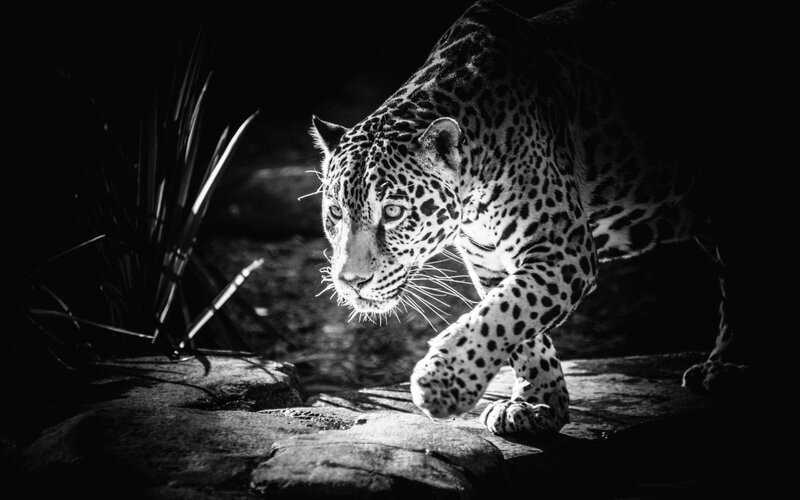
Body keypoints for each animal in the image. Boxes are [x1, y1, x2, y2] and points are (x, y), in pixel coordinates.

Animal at [309, 0, 749, 436]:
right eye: (336, 212)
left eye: (394, 212)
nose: (350, 281)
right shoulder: (490, 263)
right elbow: (517, 327)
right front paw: (537, 404)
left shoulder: (564, 248)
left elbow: (506, 313)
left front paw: (442, 382)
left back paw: (725, 368)